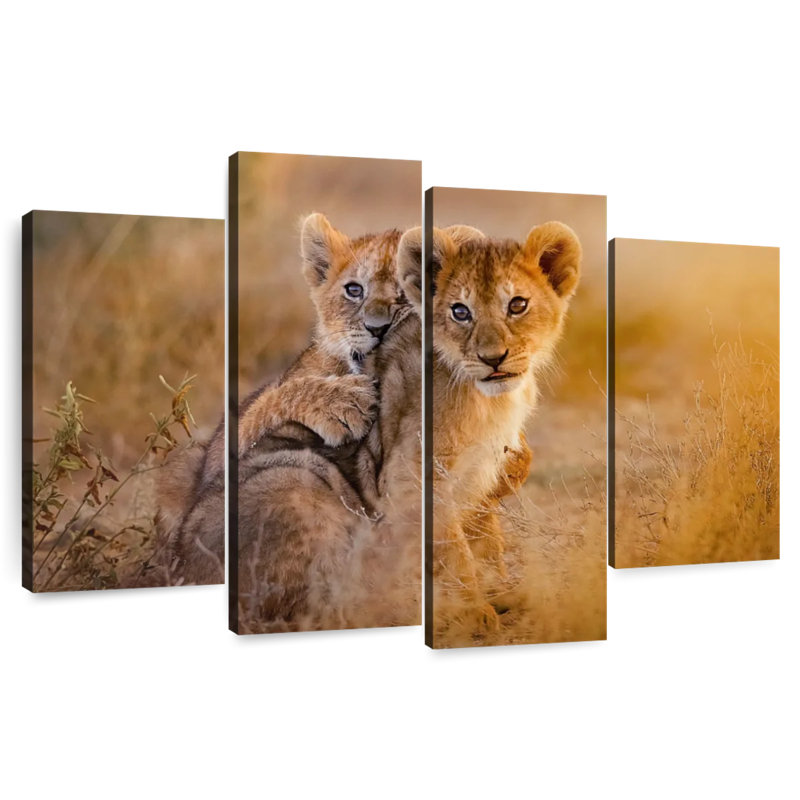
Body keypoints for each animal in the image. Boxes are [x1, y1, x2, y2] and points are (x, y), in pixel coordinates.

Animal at [397, 221, 581, 635]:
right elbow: (450, 544)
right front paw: (472, 610)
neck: (489, 401)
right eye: (460, 311)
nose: (493, 358)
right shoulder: (424, 472)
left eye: (517, 305)